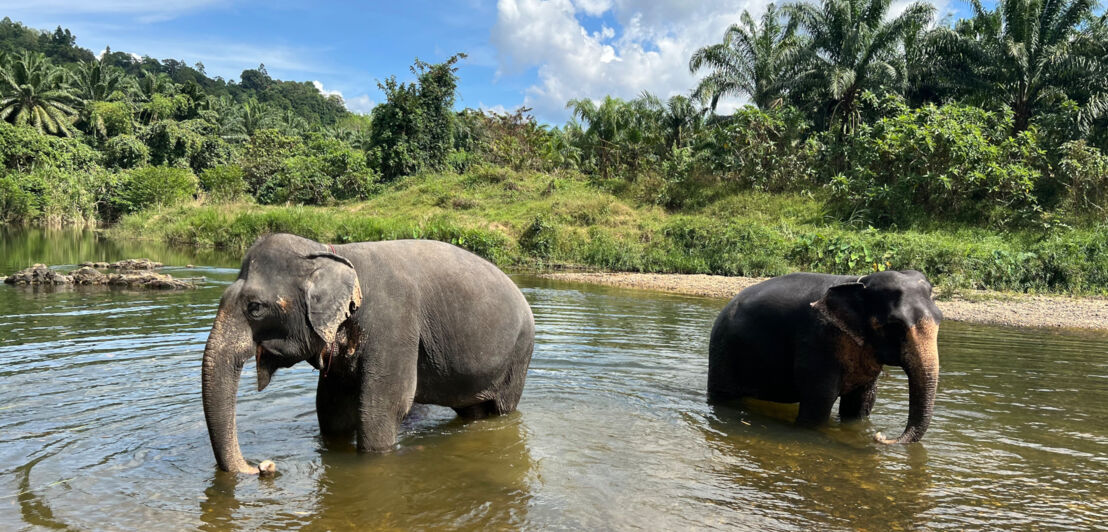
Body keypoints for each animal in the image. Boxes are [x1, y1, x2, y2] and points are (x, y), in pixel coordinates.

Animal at [206, 232, 538, 474]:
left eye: (255, 308)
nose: (262, 467)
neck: (332, 254)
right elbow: (331, 408)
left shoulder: (394, 326)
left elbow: (384, 407)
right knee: (472, 412)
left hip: (518, 356)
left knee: (501, 409)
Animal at [704, 270, 939, 445]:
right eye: (894, 326)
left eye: (940, 319)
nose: (880, 436)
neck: (858, 281)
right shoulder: (817, 342)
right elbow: (819, 401)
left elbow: (861, 403)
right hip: (723, 352)